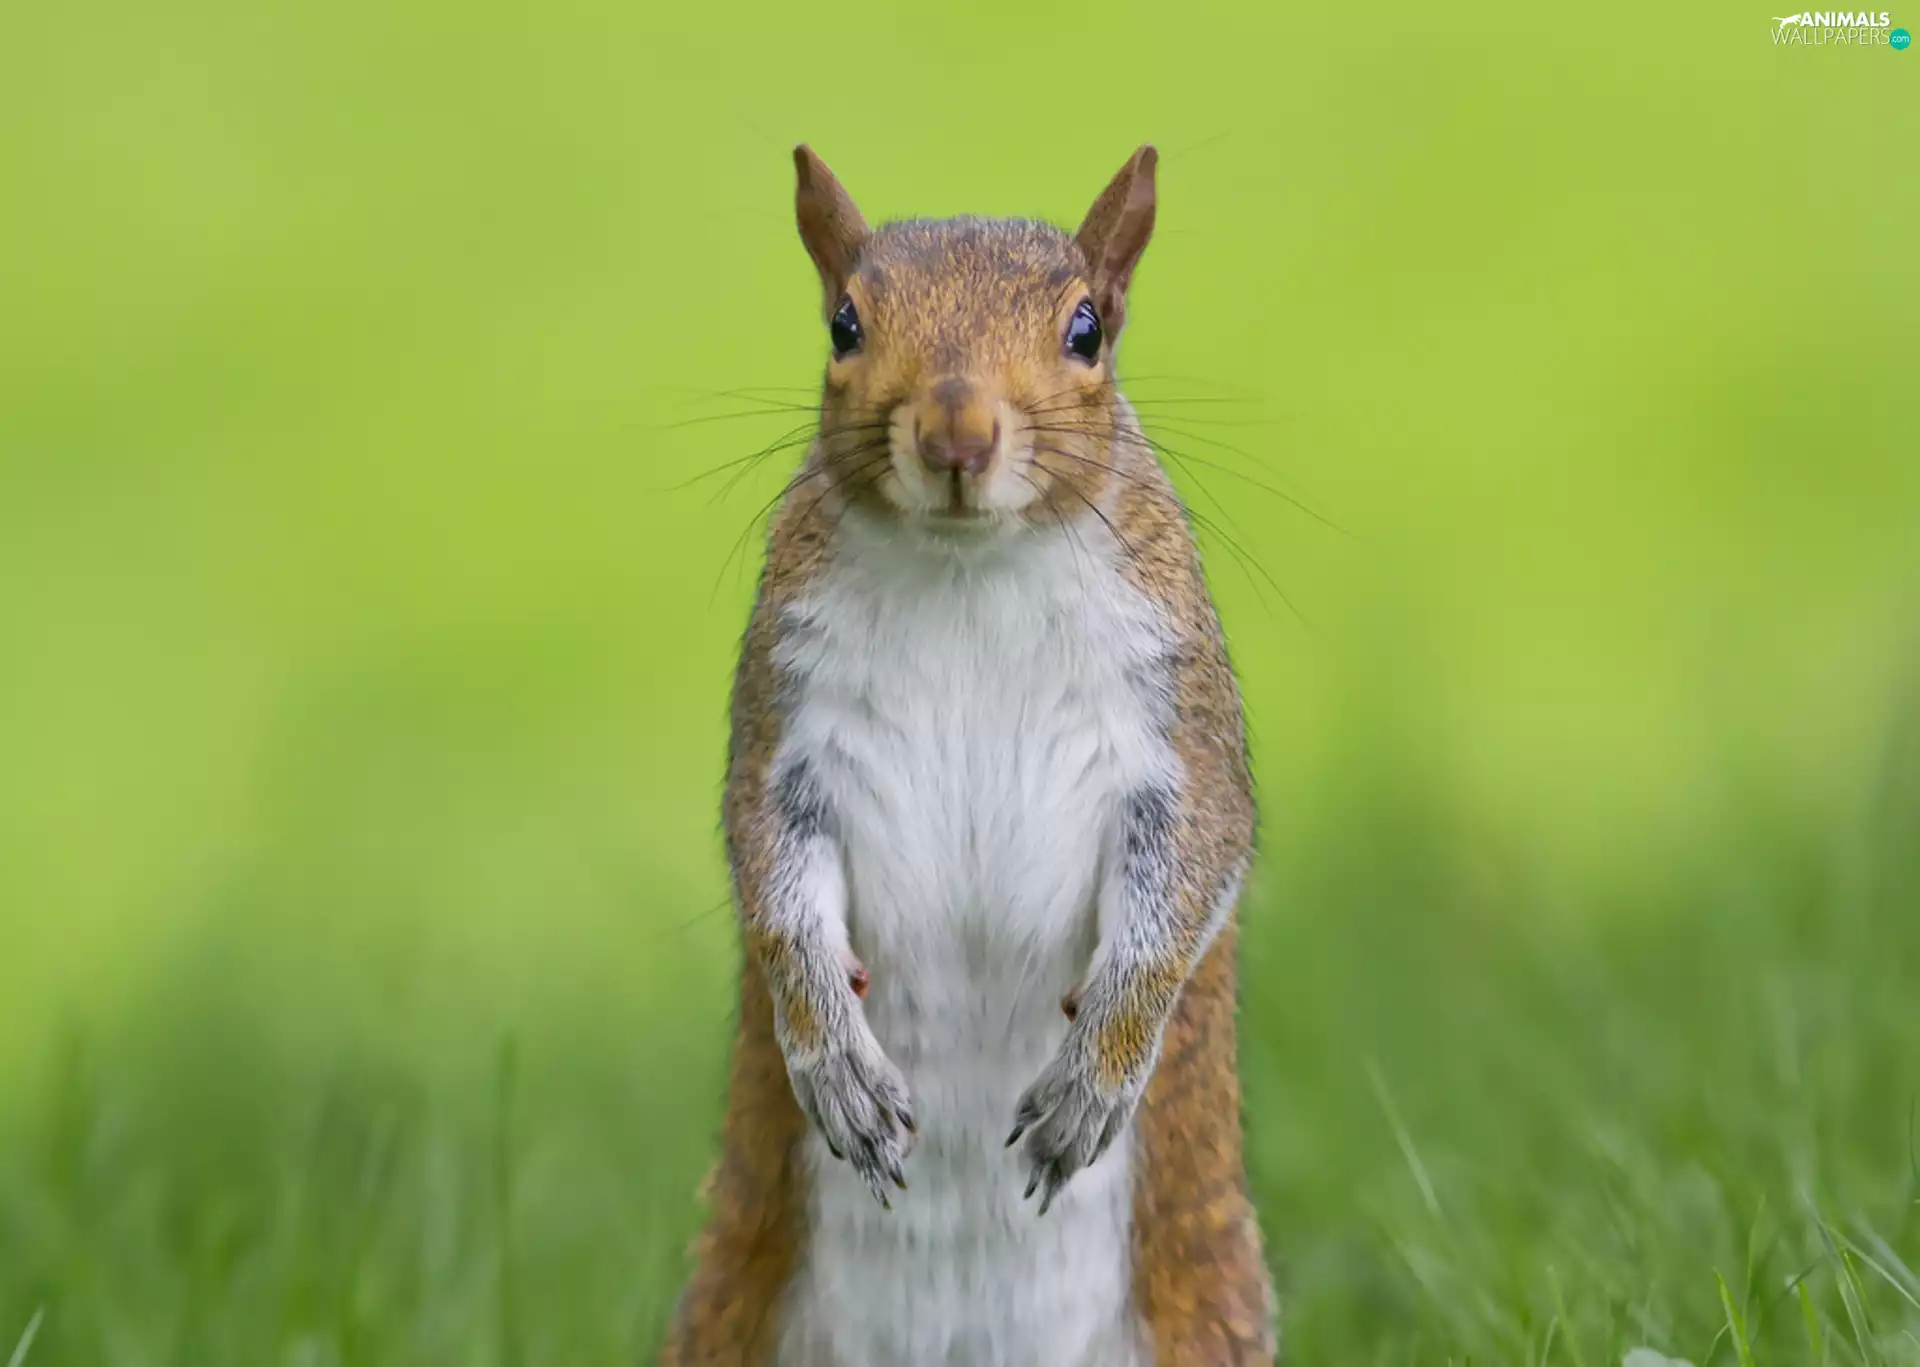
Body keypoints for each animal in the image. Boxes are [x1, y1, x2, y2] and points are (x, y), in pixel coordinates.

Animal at [659, 145, 1276, 1367]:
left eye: (1087, 329)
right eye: (844, 323)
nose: (956, 434)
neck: (967, 568)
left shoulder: (1177, 727)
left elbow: (1188, 879)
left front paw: (1094, 1080)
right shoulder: (786, 726)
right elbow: (772, 883)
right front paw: (837, 1068)